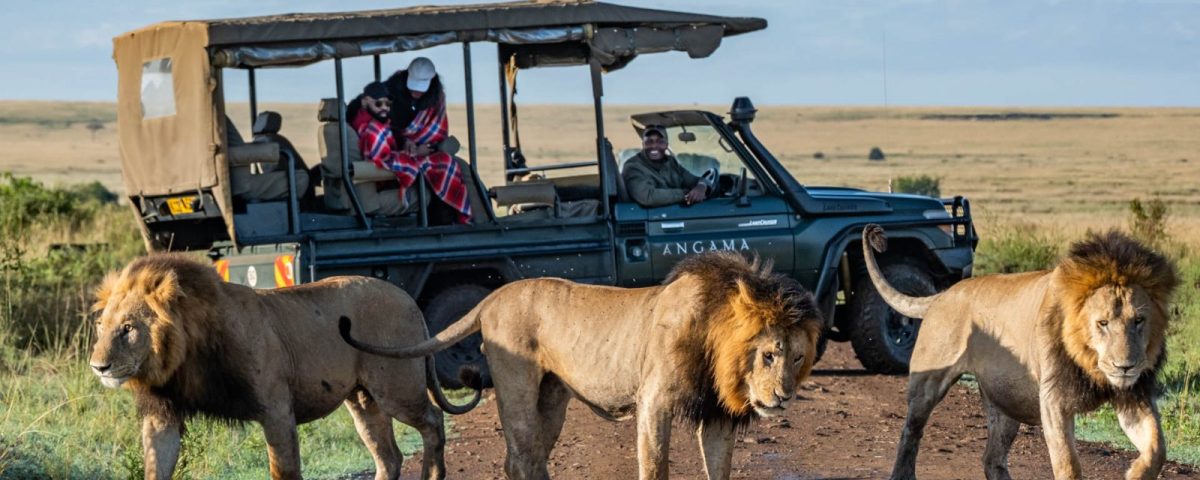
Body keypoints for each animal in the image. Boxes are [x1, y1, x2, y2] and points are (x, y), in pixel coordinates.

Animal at [88, 254, 479, 480]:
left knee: (432, 421)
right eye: (101, 326)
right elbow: (157, 464)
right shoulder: (163, 414)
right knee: (390, 456)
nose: (98, 367)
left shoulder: (276, 408)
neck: (185, 357)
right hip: (363, 399)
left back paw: (432, 475)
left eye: (128, 328)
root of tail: (409, 299)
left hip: (396, 388)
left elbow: (284, 470)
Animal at [340, 251, 823, 480]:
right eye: (768, 354)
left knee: (527, 458)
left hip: (552, 399)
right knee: (522, 457)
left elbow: (719, 470)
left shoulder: (718, 414)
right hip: (516, 389)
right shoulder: (654, 401)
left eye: (798, 356)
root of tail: (494, 296)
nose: (783, 397)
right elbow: (655, 466)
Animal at [860, 224, 1178, 480]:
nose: (1126, 366)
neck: (1090, 362)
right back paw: (902, 473)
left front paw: (1135, 472)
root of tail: (943, 294)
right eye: (1102, 323)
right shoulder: (1053, 400)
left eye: (1139, 321)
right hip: (927, 383)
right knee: (911, 431)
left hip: (1005, 402)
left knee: (992, 458)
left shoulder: (1134, 395)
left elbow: (1157, 448)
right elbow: (1068, 462)